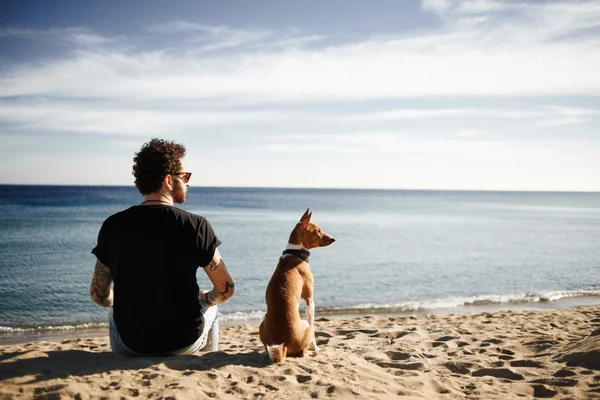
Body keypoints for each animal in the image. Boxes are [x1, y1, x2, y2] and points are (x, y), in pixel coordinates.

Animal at [258, 209, 336, 362]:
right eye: (318, 231)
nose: (333, 239)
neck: (296, 253)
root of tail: (284, 344)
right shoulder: (310, 300)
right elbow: (314, 330)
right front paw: (315, 347)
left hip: (262, 322)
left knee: (266, 348)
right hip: (305, 324)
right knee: (302, 352)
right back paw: (311, 353)